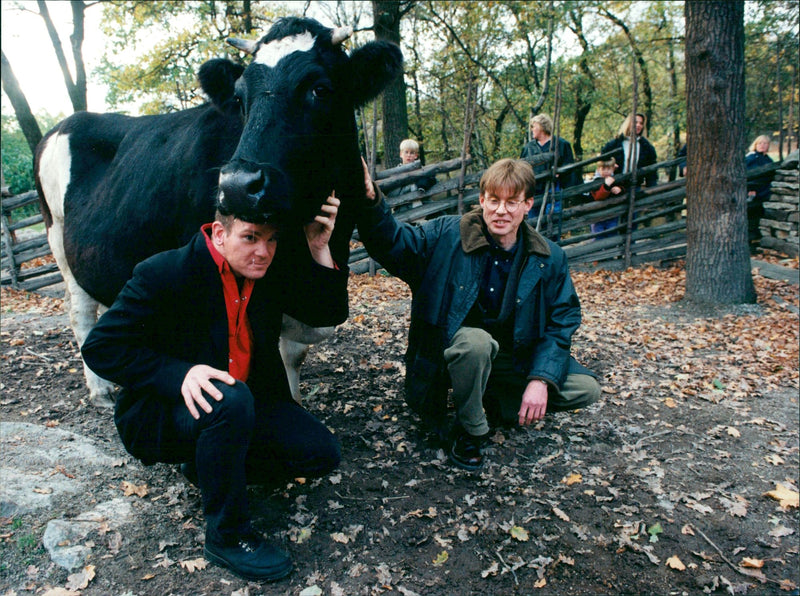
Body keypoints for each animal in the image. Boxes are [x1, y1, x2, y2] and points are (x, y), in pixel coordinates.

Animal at [35, 16, 404, 406]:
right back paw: (101, 389)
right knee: (80, 312)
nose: (237, 184)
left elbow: (293, 353)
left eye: (320, 89)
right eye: (240, 98)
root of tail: (65, 123)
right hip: (59, 242)